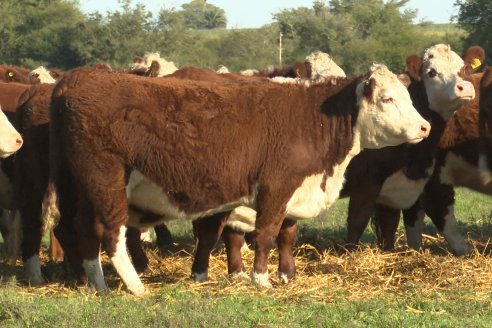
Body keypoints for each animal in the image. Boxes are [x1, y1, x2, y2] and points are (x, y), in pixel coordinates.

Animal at [47, 62, 426, 296]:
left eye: (408, 97)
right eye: (388, 99)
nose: (425, 127)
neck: (313, 118)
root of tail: (76, 81)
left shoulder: (293, 190)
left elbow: (285, 234)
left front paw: (287, 275)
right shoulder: (275, 186)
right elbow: (266, 234)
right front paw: (261, 279)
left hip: (78, 187)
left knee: (81, 230)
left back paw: (94, 283)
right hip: (107, 180)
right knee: (112, 233)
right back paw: (135, 286)